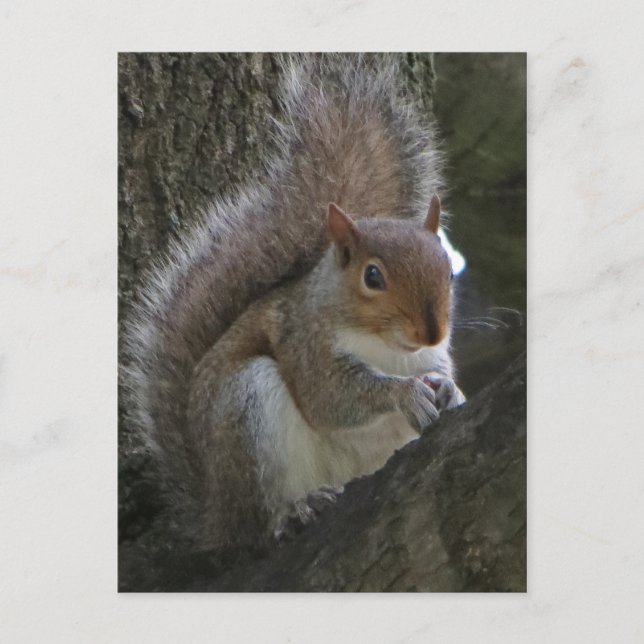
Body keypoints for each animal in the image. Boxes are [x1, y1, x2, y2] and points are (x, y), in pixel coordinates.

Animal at [123, 54, 465, 551]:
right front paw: (401, 393)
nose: (432, 330)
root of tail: (217, 516)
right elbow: (332, 398)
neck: (388, 348)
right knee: (262, 521)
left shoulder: (432, 356)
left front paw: (449, 390)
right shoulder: (305, 346)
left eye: (446, 266)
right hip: (247, 410)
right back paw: (297, 509)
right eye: (373, 276)